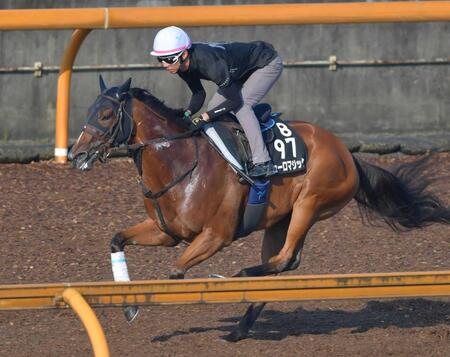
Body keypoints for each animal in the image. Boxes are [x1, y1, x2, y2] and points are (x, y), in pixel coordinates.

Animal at [68, 76, 448, 340]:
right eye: (89, 111)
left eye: (106, 114)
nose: (76, 154)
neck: (180, 161)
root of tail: (347, 153)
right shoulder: (167, 232)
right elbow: (117, 240)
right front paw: (130, 307)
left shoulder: (215, 236)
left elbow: (175, 273)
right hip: (278, 220)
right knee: (280, 263)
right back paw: (239, 327)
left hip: (309, 204)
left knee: (284, 259)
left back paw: (235, 279)